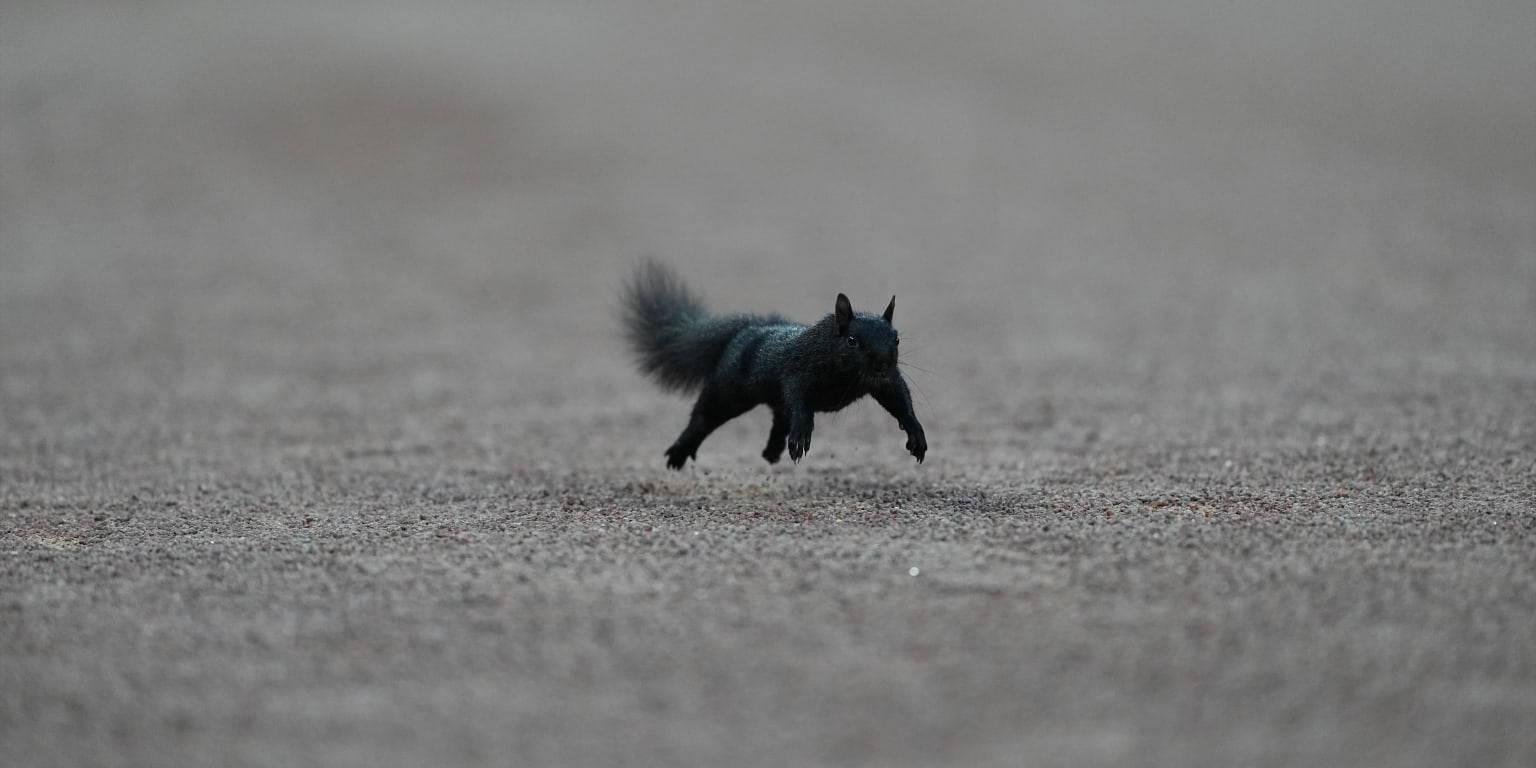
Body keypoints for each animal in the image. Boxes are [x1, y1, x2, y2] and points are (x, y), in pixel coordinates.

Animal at [620, 259, 927, 469]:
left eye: (896, 339)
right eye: (852, 340)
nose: (883, 363)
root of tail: (749, 329)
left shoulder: (885, 382)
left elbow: (900, 401)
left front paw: (916, 436)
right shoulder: (796, 372)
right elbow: (798, 402)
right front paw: (802, 433)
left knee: (779, 416)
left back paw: (772, 450)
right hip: (728, 390)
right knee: (704, 417)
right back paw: (680, 452)